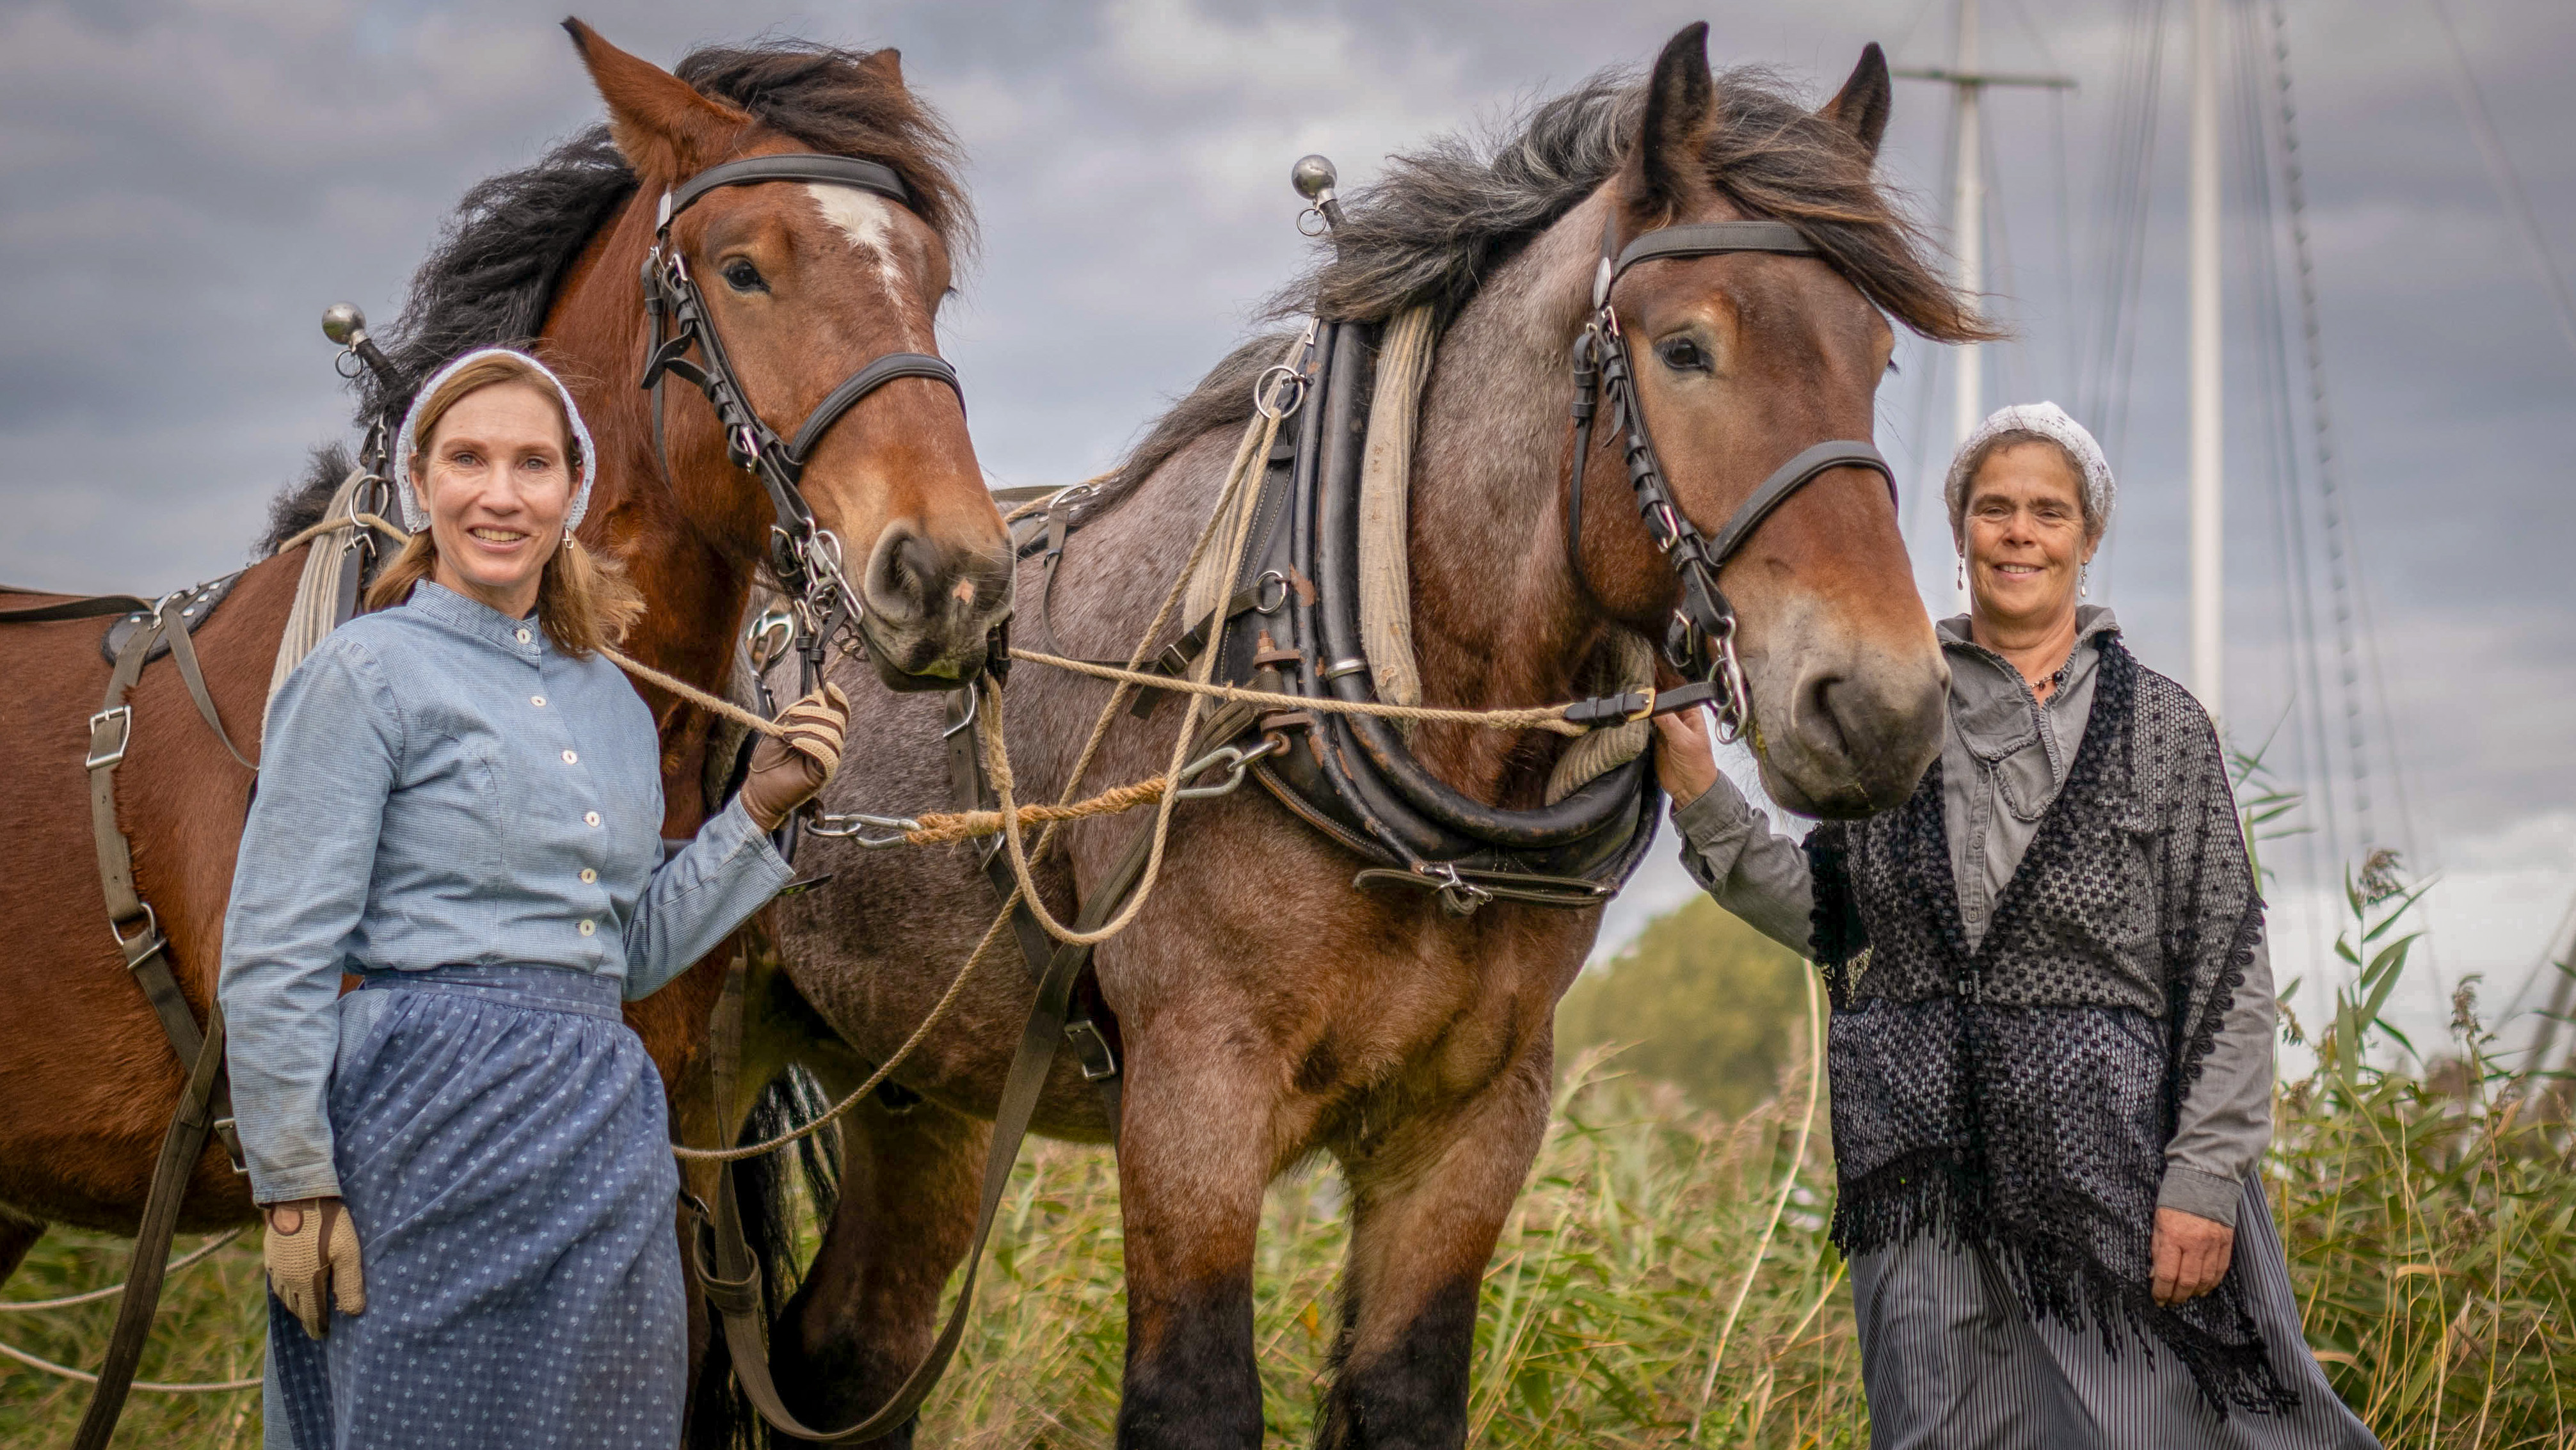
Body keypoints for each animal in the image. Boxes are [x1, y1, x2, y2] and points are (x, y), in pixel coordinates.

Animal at [747, 22, 1988, 1450]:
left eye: (1876, 356)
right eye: (1685, 349)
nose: (1884, 705)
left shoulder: (1471, 1122)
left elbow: (1404, 1394)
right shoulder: (1193, 1100)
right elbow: (1195, 1403)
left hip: (917, 1089)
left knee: (848, 1355)